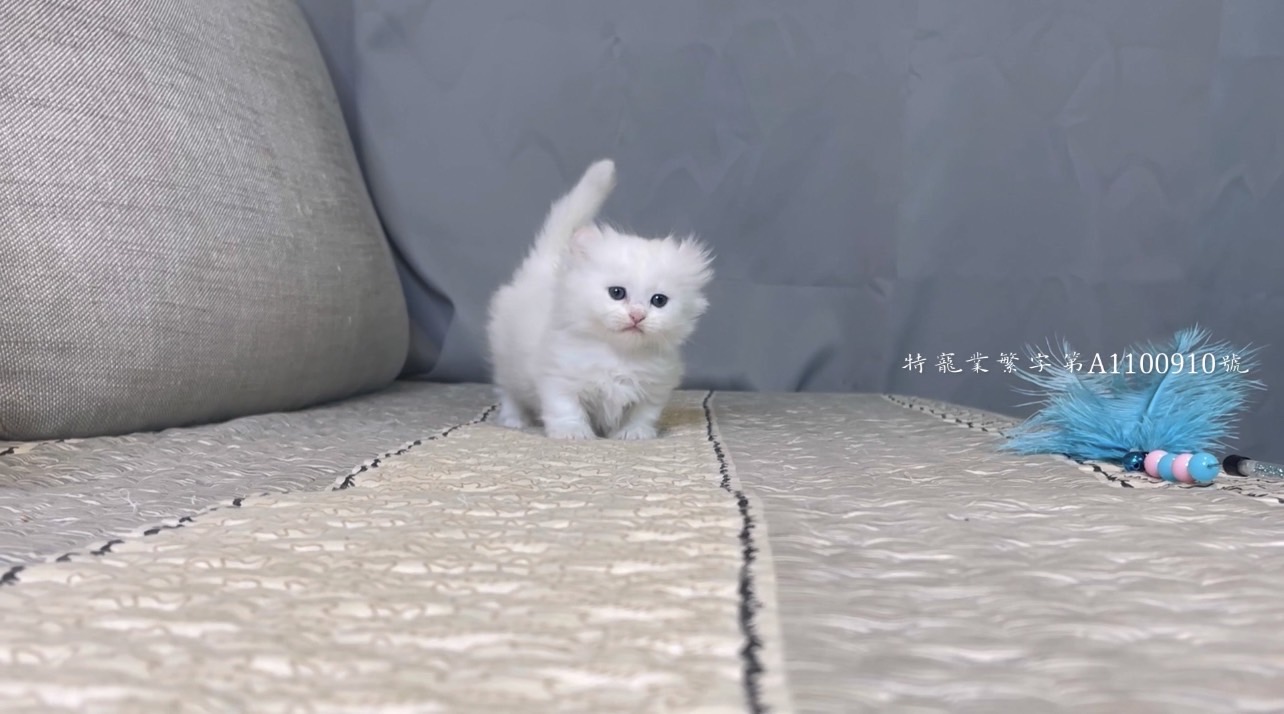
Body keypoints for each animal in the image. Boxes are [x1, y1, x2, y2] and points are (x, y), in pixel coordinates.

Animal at [486, 159, 714, 440]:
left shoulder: (654, 387)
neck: (619, 355)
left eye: (659, 300)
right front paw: (573, 433)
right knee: (508, 393)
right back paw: (514, 420)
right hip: (506, 360)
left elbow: (643, 414)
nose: (637, 315)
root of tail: (543, 263)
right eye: (617, 293)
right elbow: (565, 408)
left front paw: (633, 434)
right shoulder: (558, 377)